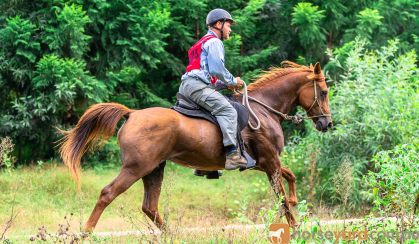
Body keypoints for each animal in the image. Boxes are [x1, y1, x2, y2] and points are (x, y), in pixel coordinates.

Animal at [60, 61, 334, 233]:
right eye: (323, 91)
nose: (327, 123)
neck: (264, 109)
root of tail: (132, 114)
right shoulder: (270, 162)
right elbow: (283, 200)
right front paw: (297, 228)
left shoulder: (263, 164)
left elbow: (290, 178)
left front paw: (296, 198)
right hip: (135, 168)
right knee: (108, 194)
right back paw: (86, 233)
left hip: (154, 169)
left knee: (150, 206)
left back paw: (171, 235)